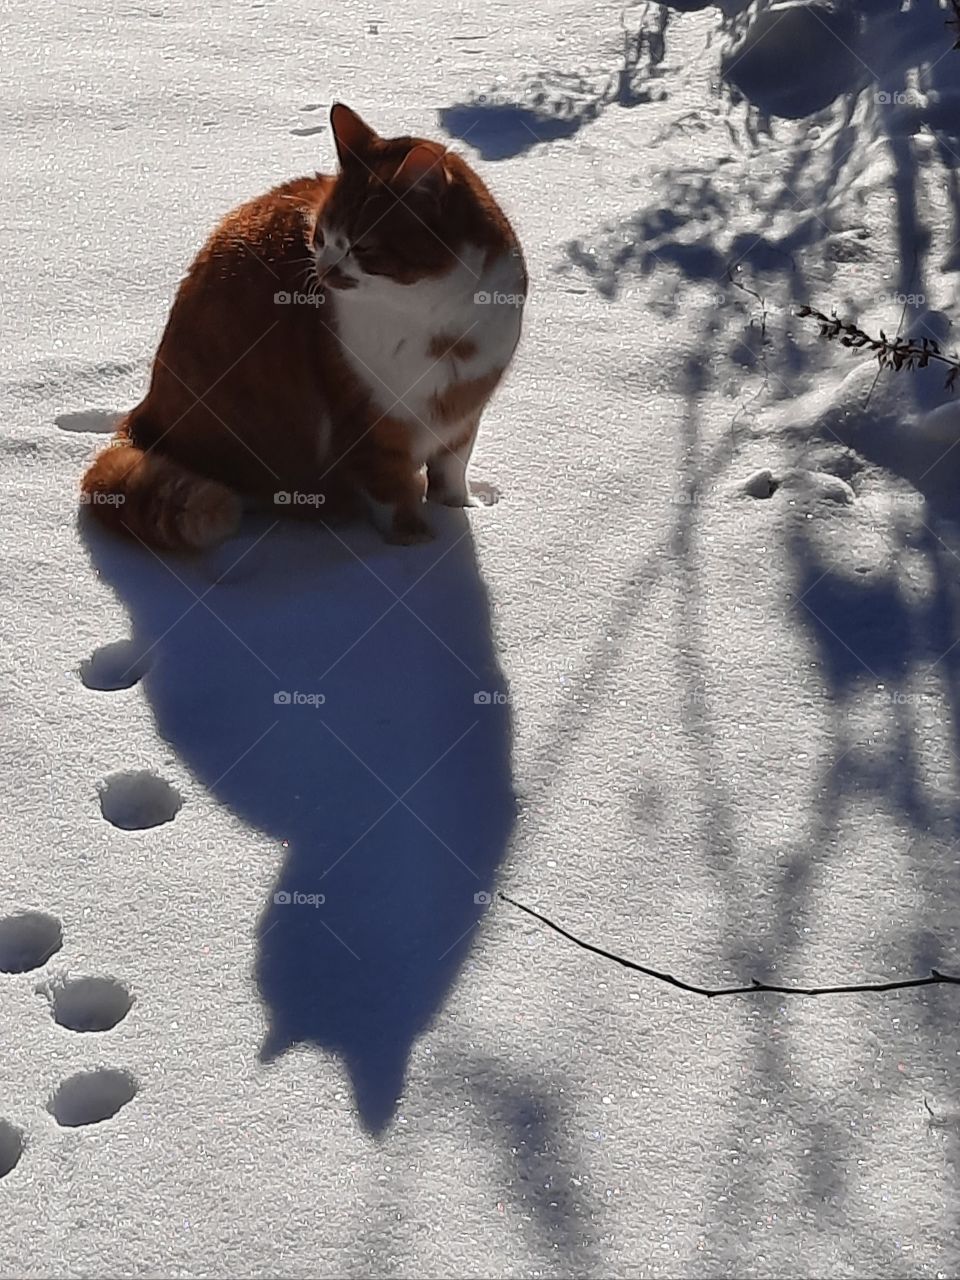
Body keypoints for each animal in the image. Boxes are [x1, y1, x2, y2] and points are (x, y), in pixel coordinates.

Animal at [82, 106, 529, 550]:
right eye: (321, 237)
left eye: (361, 247)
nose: (325, 270)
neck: (431, 317)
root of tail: (143, 417)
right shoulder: (368, 421)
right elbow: (390, 491)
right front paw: (413, 544)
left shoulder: (465, 414)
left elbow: (452, 471)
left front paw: (458, 509)